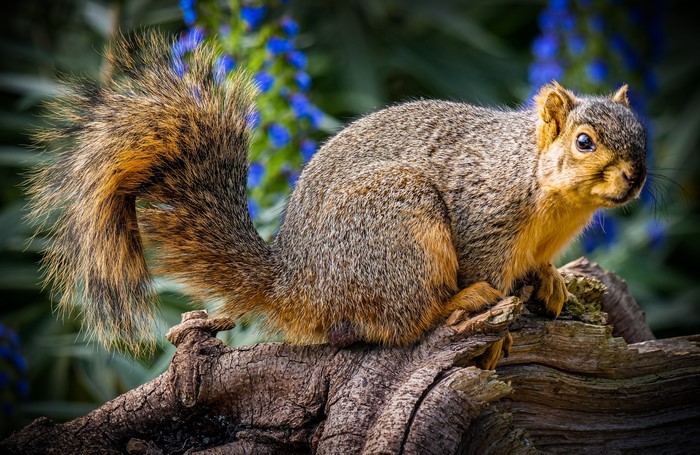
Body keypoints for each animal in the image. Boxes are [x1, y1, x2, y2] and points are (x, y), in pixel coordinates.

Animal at [29, 34, 646, 354]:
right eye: (585, 142)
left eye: (642, 133)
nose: (635, 178)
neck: (550, 197)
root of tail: (299, 282)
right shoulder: (484, 215)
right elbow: (488, 269)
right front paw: (497, 323)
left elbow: (539, 265)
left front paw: (550, 279)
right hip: (398, 228)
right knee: (404, 323)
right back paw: (459, 304)